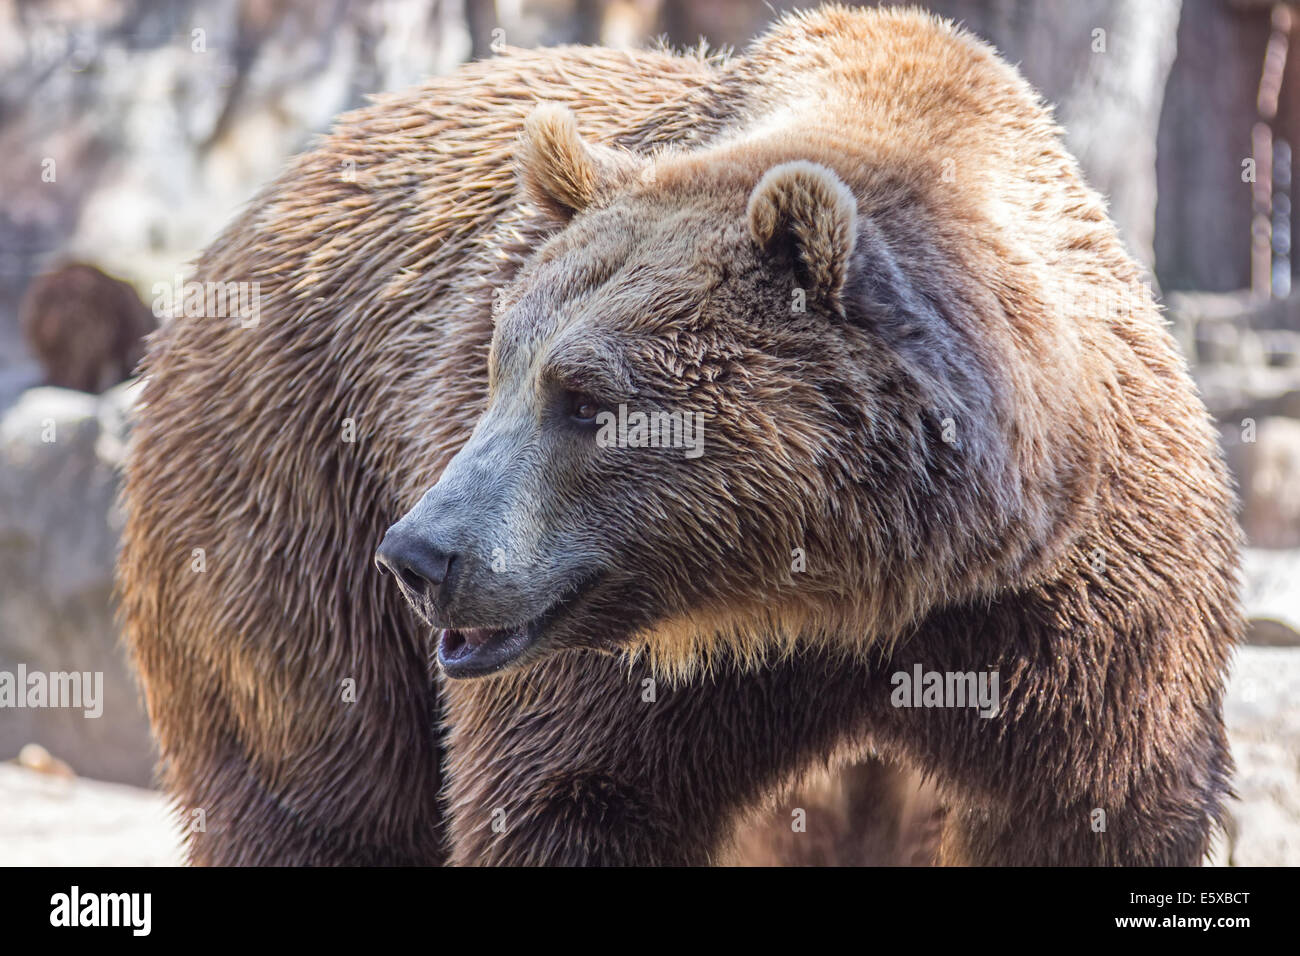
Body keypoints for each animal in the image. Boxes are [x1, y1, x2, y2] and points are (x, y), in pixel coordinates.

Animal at [119, 3, 1237, 868]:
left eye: (584, 399)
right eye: (499, 367)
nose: (423, 554)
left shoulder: (1080, 612)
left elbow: (1093, 806)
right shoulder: (626, 675)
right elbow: (570, 796)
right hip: (285, 492)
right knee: (320, 782)